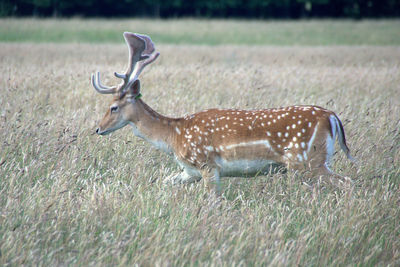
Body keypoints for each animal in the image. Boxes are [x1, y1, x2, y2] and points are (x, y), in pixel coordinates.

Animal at [90, 32, 354, 194]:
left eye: (113, 107)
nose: (98, 129)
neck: (174, 137)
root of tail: (332, 117)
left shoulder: (208, 165)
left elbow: (213, 200)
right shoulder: (189, 172)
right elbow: (164, 183)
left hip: (308, 159)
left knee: (347, 181)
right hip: (316, 160)